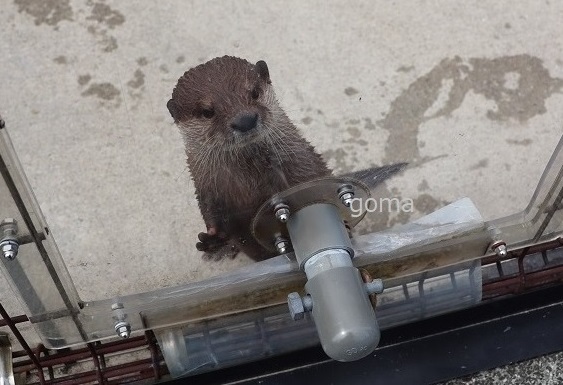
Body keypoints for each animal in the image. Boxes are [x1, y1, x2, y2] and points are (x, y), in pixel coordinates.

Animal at [167, 56, 406, 260]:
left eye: (254, 92)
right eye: (207, 111)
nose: (245, 120)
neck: (252, 185)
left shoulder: (307, 169)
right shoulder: (207, 189)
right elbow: (214, 216)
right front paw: (216, 239)